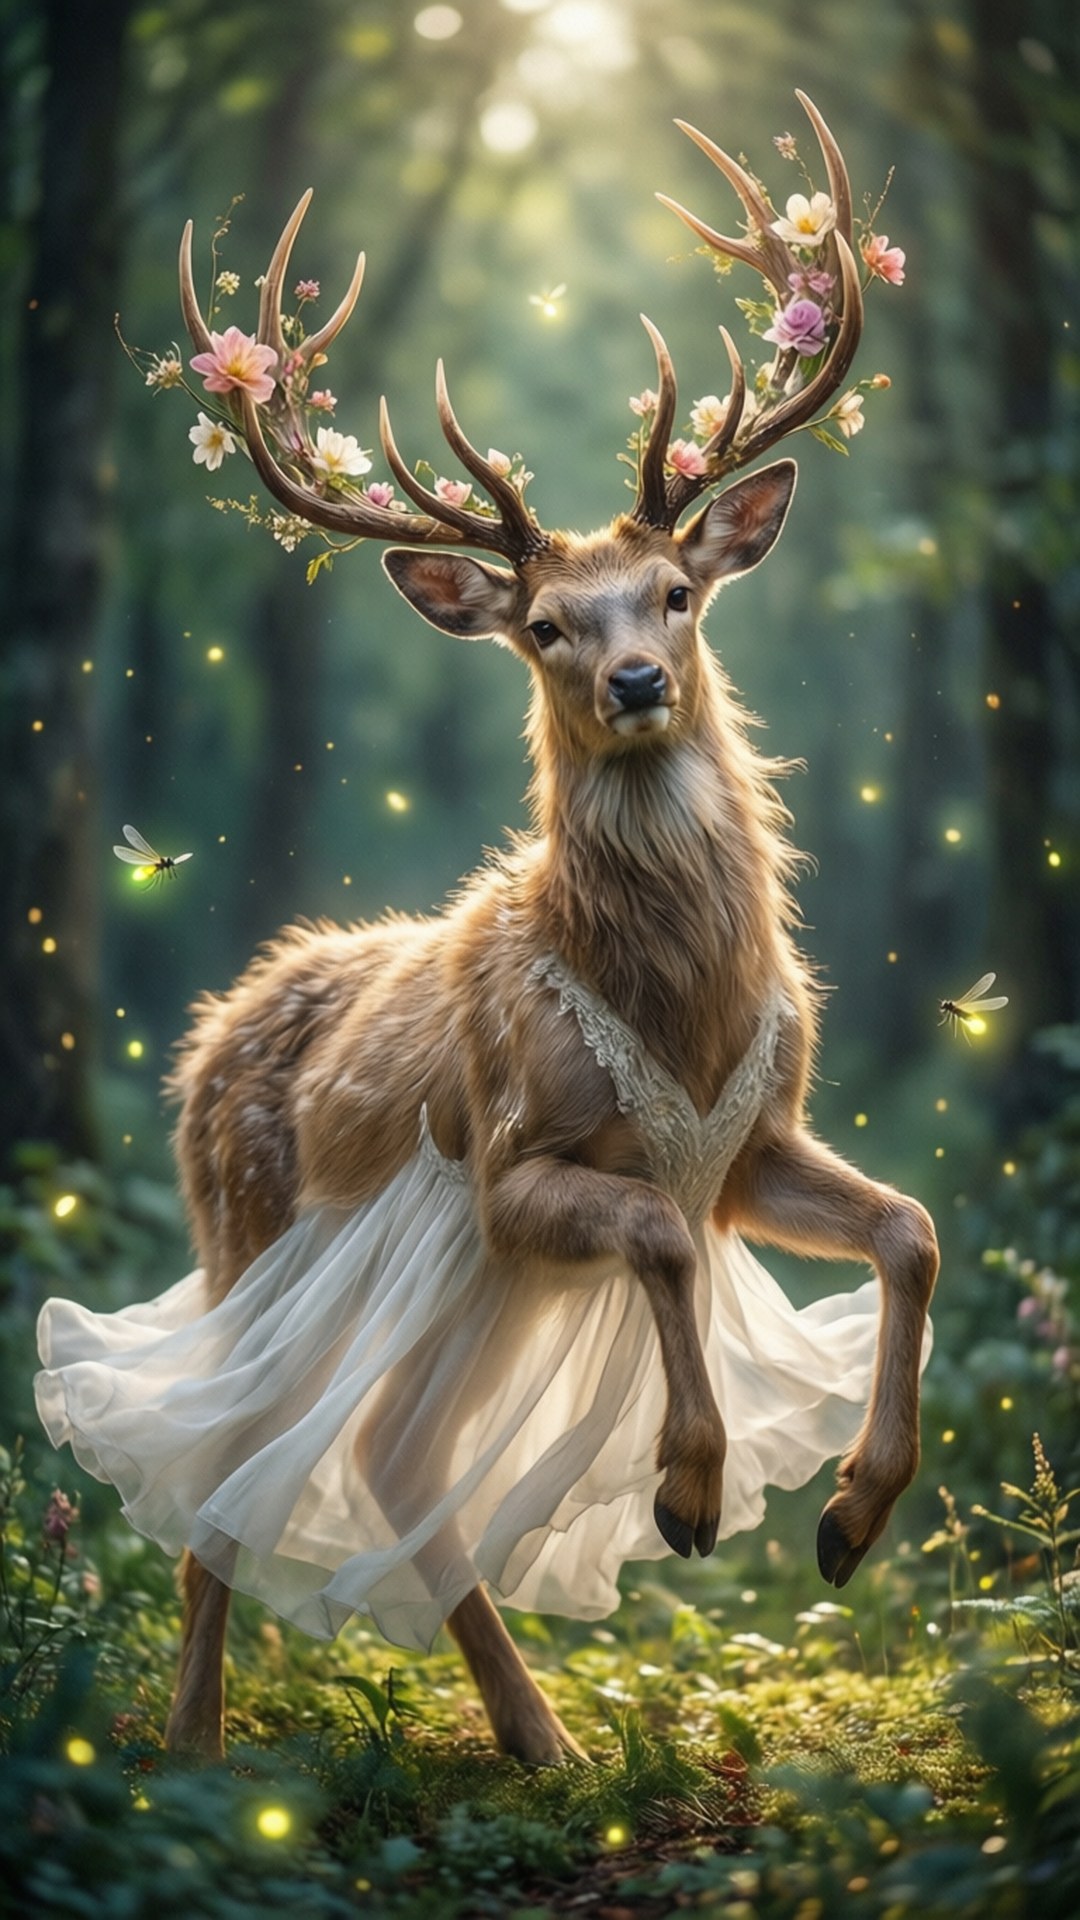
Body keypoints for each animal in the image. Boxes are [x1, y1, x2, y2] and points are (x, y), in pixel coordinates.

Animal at [36, 94, 938, 1769]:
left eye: (677, 594)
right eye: (544, 627)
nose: (636, 682)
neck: (676, 1001)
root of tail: (206, 1039)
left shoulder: (754, 1142)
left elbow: (907, 1225)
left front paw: (849, 1520)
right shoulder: (518, 1169)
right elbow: (654, 1228)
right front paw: (689, 1489)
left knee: (390, 1451)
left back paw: (541, 1738)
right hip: (253, 1229)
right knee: (224, 1466)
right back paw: (195, 1749)